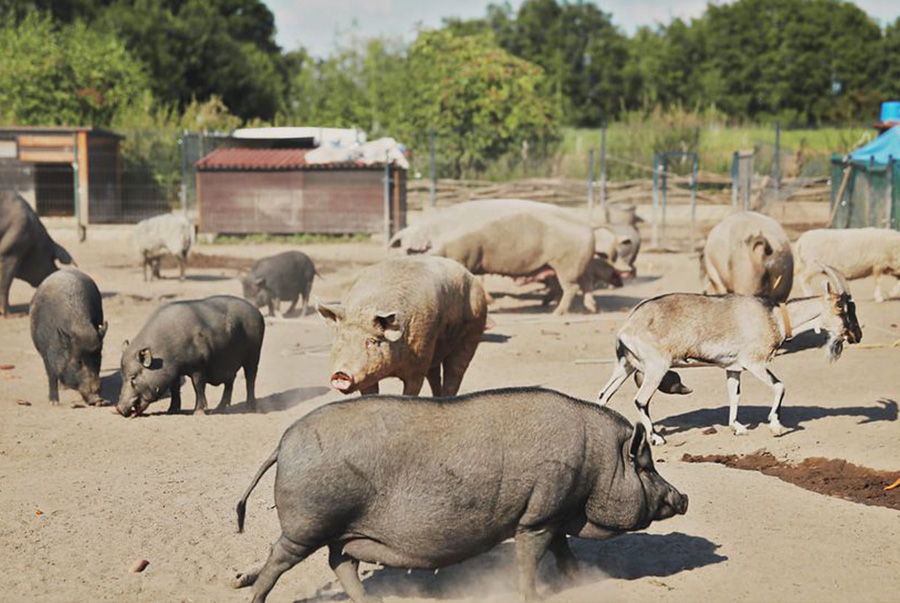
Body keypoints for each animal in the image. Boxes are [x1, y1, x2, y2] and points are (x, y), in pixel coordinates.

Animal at [29, 270, 107, 406]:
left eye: (98, 359)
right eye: (79, 361)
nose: (99, 400)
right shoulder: (45, 353)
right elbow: (51, 375)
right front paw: (54, 402)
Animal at [116, 294, 264, 418]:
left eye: (133, 377)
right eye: (122, 375)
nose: (118, 408)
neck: (166, 352)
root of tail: (257, 312)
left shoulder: (198, 366)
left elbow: (198, 386)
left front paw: (198, 412)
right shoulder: (175, 373)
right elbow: (175, 389)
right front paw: (172, 411)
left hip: (254, 354)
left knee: (250, 378)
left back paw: (249, 409)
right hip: (230, 365)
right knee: (230, 382)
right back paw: (218, 410)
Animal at [232, 386, 688, 603]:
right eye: (646, 467)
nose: (682, 498)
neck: (597, 464)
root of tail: (284, 442)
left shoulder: (552, 515)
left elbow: (564, 551)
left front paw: (579, 581)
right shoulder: (537, 517)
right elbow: (530, 560)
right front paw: (532, 595)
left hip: (338, 531)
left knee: (340, 563)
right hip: (309, 523)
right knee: (280, 557)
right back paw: (254, 596)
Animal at [316, 258, 486, 398]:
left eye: (371, 341)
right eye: (341, 339)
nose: (341, 374)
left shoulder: (418, 364)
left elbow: (412, 389)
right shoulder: (367, 375)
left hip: (473, 332)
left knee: (455, 371)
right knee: (434, 375)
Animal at [600, 264, 860, 444]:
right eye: (842, 309)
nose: (857, 336)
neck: (774, 317)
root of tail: (627, 326)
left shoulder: (733, 368)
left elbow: (734, 396)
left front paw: (738, 427)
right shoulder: (754, 362)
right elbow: (779, 386)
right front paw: (776, 426)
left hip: (625, 366)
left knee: (604, 396)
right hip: (657, 367)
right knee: (640, 400)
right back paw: (656, 437)